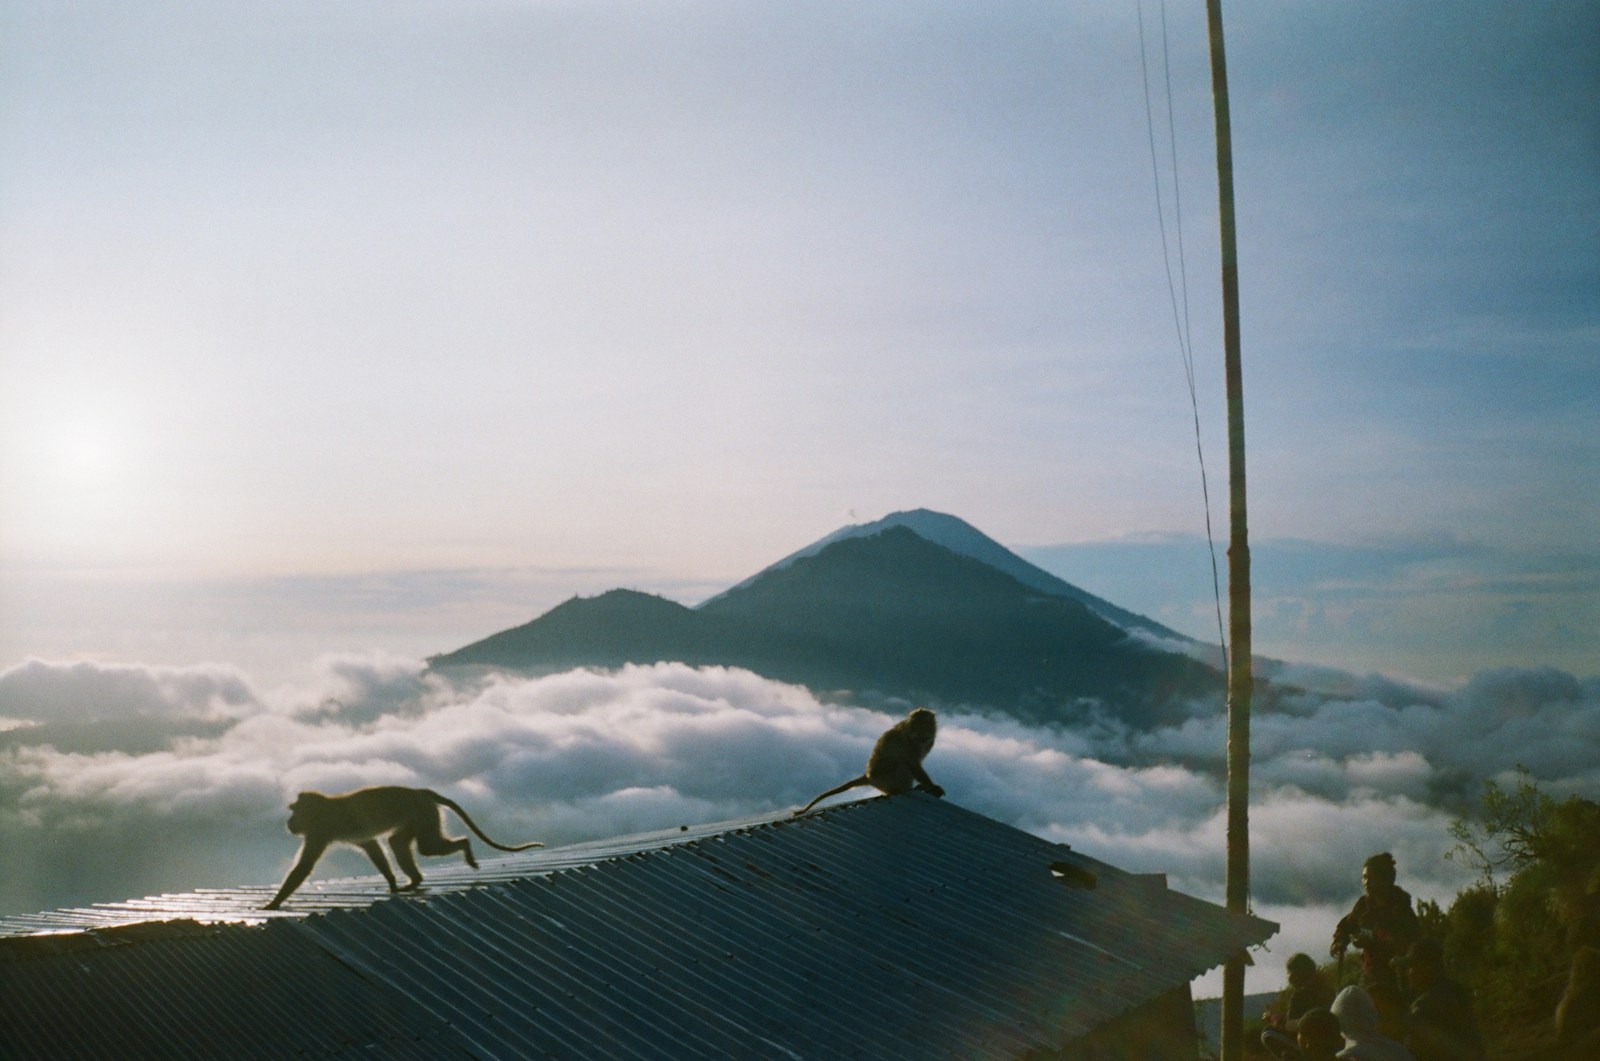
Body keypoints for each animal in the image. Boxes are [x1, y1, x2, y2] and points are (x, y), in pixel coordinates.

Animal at [259, 784, 540, 908]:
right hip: (418, 816)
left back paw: (465, 847)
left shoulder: (319, 831)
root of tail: (420, 791)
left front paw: (273, 904)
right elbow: (372, 846)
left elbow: (304, 866)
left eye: (294, 811)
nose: (289, 823)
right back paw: (414, 881)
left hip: (424, 814)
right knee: (398, 843)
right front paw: (392, 882)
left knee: (428, 846)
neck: (322, 809)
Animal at [793, 710, 940, 816]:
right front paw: (931, 787)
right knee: (899, 764)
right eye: (916, 725)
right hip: (884, 777)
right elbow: (912, 764)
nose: (921, 736)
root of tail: (868, 776)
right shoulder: (909, 744)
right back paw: (901, 789)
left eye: (925, 725)